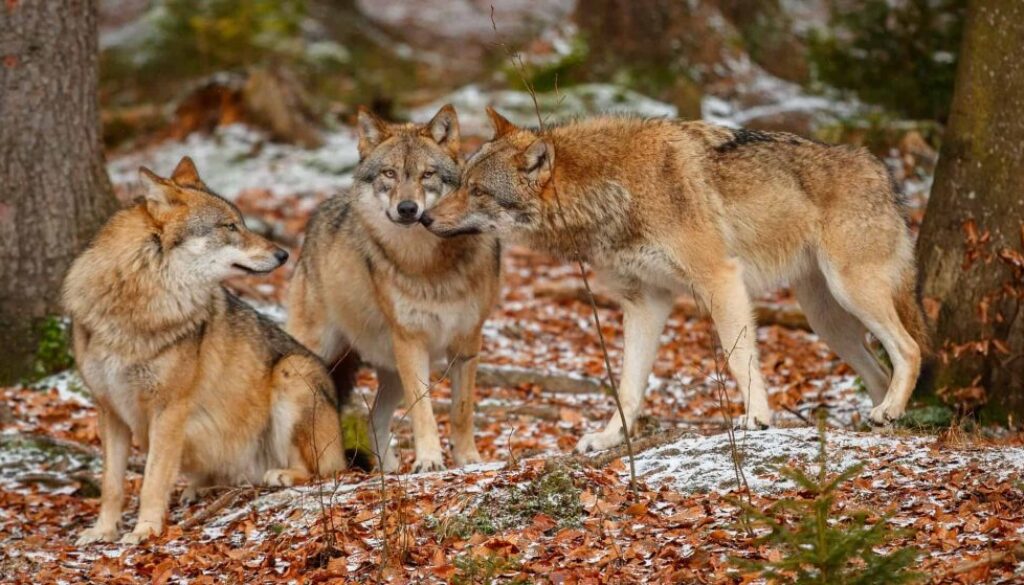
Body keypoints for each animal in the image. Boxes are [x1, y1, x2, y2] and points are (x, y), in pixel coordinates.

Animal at [64, 157, 346, 545]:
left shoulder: (169, 409)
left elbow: (152, 481)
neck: (138, 304)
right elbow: (112, 485)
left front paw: (144, 531)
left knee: (324, 470)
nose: (284, 254)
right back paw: (197, 489)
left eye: (242, 222)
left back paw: (281, 474)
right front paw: (102, 531)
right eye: (230, 226)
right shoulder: (109, 410)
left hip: (292, 371)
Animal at [287, 105, 501, 473]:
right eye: (389, 173)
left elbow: (461, 411)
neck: (427, 264)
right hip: (316, 356)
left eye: (427, 174)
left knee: (374, 418)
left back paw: (386, 471)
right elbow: (423, 411)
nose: (407, 208)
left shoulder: (468, 341)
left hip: (391, 371)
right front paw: (429, 460)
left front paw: (468, 459)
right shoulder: (411, 341)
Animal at [422, 109, 929, 453]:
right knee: (880, 370)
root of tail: (883, 172)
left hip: (851, 292)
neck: (614, 190)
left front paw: (757, 417)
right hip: (827, 321)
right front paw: (609, 439)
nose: (423, 218)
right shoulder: (645, 302)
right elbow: (628, 386)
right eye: (459, 181)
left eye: (477, 190)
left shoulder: (720, 280)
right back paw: (881, 421)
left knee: (910, 349)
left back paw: (889, 410)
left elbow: (739, 358)